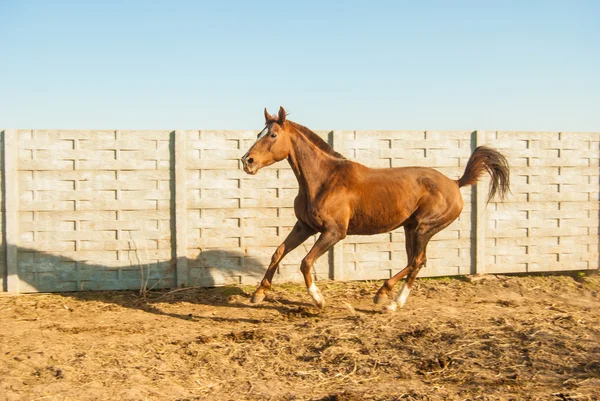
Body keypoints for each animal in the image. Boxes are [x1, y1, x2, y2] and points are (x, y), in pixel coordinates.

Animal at [241, 107, 508, 312]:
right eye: (259, 133)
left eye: (272, 135)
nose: (247, 161)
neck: (324, 180)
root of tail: (455, 183)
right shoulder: (305, 226)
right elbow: (278, 252)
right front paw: (259, 293)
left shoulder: (334, 233)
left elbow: (306, 262)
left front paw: (319, 300)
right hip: (410, 229)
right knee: (416, 261)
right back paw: (389, 299)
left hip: (424, 228)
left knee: (417, 261)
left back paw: (386, 298)